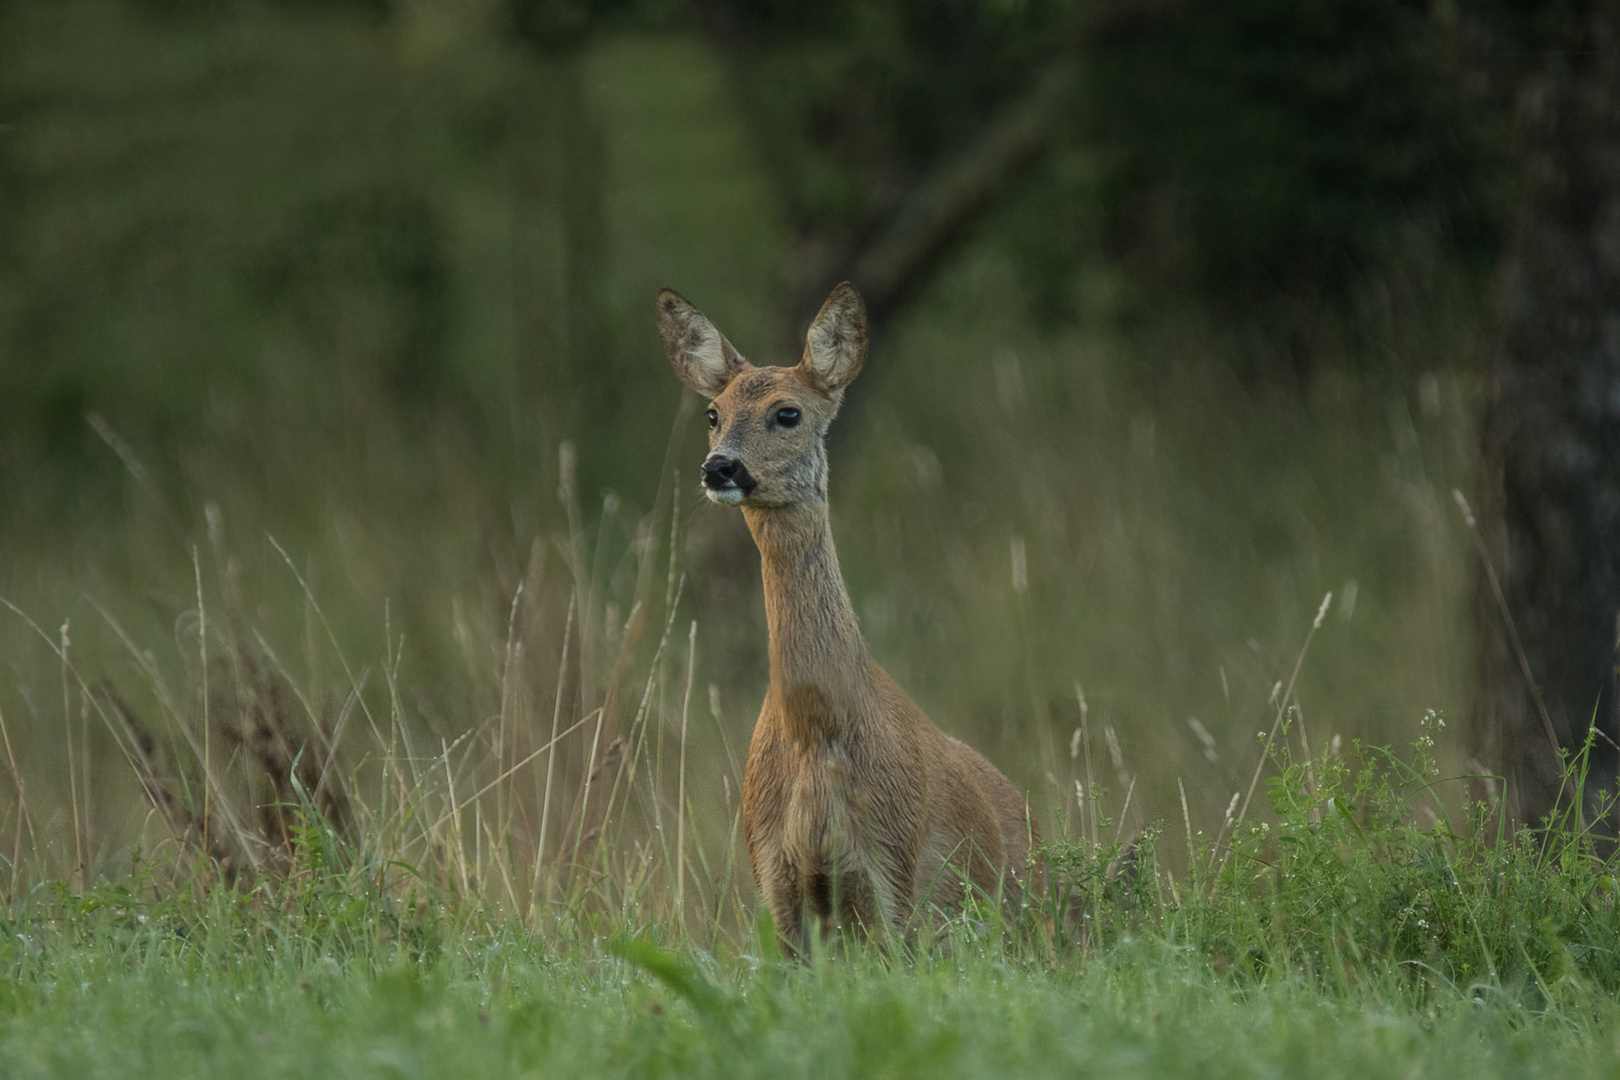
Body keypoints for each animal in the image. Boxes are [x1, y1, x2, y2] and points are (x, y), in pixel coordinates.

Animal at [657, 283, 1036, 952]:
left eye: (788, 413)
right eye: (712, 414)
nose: (719, 467)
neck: (815, 735)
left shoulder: (892, 874)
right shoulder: (774, 876)